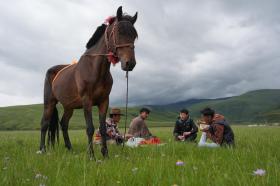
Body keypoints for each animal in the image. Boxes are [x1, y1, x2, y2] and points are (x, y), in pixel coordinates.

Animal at [39, 6, 138, 158]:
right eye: (119, 32)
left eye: (134, 35)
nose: (130, 63)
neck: (94, 69)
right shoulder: (87, 101)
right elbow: (90, 128)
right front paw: (91, 155)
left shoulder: (104, 101)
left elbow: (102, 129)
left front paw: (105, 155)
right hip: (49, 103)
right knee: (44, 124)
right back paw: (42, 150)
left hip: (69, 107)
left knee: (64, 124)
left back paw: (70, 149)